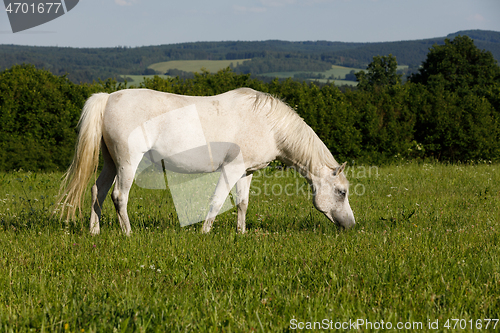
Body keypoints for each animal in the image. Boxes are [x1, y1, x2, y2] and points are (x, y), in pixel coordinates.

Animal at [59, 87, 356, 235]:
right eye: (341, 192)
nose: (351, 226)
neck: (269, 124)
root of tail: (108, 98)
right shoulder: (231, 169)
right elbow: (217, 201)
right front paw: (204, 232)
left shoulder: (246, 172)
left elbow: (243, 203)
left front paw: (241, 233)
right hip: (127, 163)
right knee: (119, 196)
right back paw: (128, 233)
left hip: (111, 163)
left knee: (97, 191)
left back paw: (94, 232)